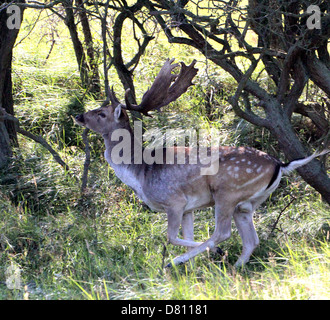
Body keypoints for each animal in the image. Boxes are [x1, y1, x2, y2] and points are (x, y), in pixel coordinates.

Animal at [76, 58, 328, 268]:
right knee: (251, 240)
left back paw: (185, 259)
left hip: (227, 192)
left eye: (101, 114)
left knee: (223, 232)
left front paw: (192, 258)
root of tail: (280, 164)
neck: (141, 174)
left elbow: (171, 237)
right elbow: (187, 236)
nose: (79, 116)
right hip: (246, 204)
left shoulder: (174, 201)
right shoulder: (189, 208)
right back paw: (235, 268)